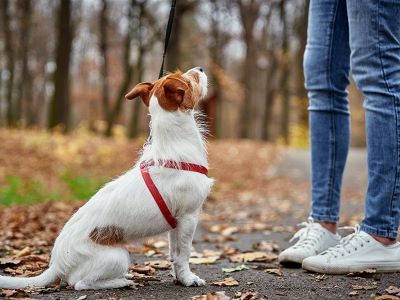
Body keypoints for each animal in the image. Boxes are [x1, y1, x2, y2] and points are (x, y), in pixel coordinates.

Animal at [0, 67, 214, 290]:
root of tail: (57, 264)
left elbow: (173, 254)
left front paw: (179, 278)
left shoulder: (177, 223)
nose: (200, 69)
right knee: (80, 284)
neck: (174, 144)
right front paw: (189, 279)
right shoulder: (188, 217)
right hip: (118, 256)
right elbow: (184, 254)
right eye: (189, 79)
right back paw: (122, 281)